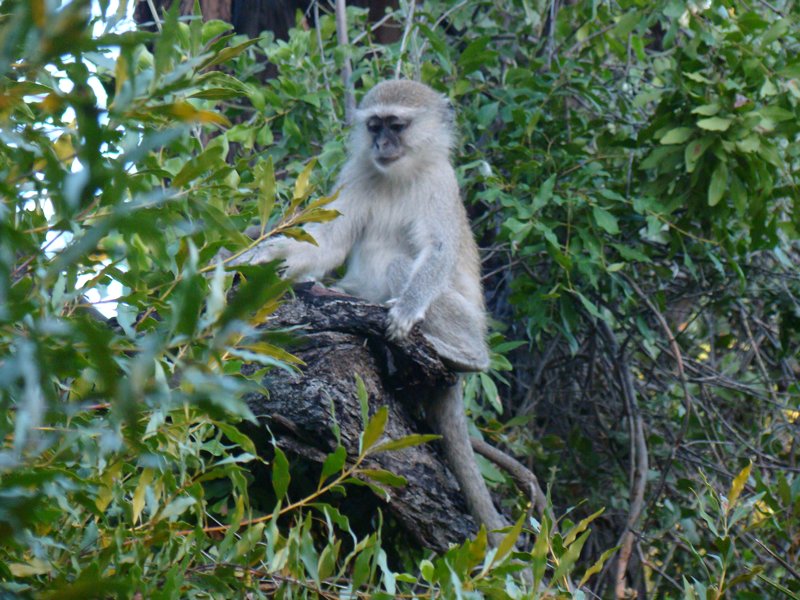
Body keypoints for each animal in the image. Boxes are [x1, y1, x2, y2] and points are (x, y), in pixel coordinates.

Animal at [233, 78, 506, 540]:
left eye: (397, 125)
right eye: (375, 125)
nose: (381, 143)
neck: (400, 174)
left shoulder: (440, 182)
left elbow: (438, 251)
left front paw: (407, 311)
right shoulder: (357, 174)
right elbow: (328, 243)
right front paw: (261, 255)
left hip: (469, 322)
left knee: (401, 266)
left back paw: (464, 355)